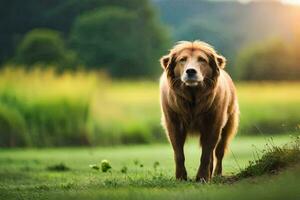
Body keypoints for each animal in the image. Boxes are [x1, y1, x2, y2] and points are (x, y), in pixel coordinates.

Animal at [159, 40, 239, 181]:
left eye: (202, 59)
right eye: (182, 59)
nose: (191, 71)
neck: (193, 96)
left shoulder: (214, 122)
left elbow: (206, 153)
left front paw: (202, 177)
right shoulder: (173, 122)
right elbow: (178, 153)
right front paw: (181, 176)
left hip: (229, 122)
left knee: (219, 151)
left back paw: (216, 173)